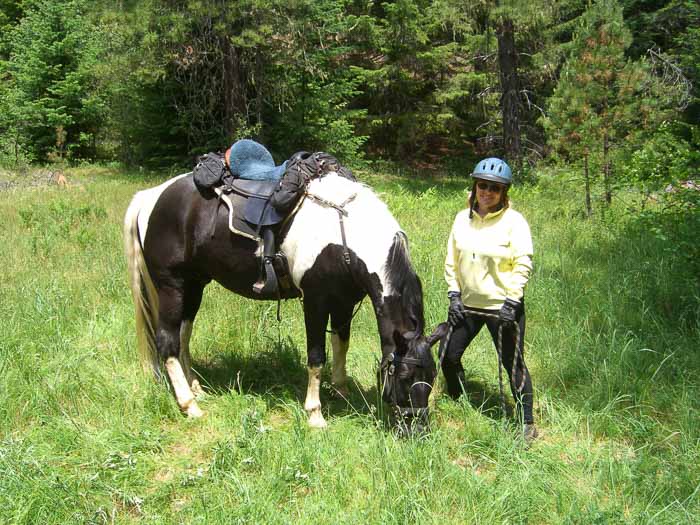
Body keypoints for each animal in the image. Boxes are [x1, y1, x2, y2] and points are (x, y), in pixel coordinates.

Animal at [123, 170, 446, 432]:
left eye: (432, 376)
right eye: (404, 376)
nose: (417, 429)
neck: (344, 234)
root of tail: (150, 196)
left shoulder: (343, 302)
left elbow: (341, 344)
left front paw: (341, 392)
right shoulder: (315, 302)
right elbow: (316, 357)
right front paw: (315, 414)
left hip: (194, 285)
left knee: (183, 335)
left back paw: (196, 390)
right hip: (172, 286)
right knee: (167, 341)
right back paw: (190, 406)